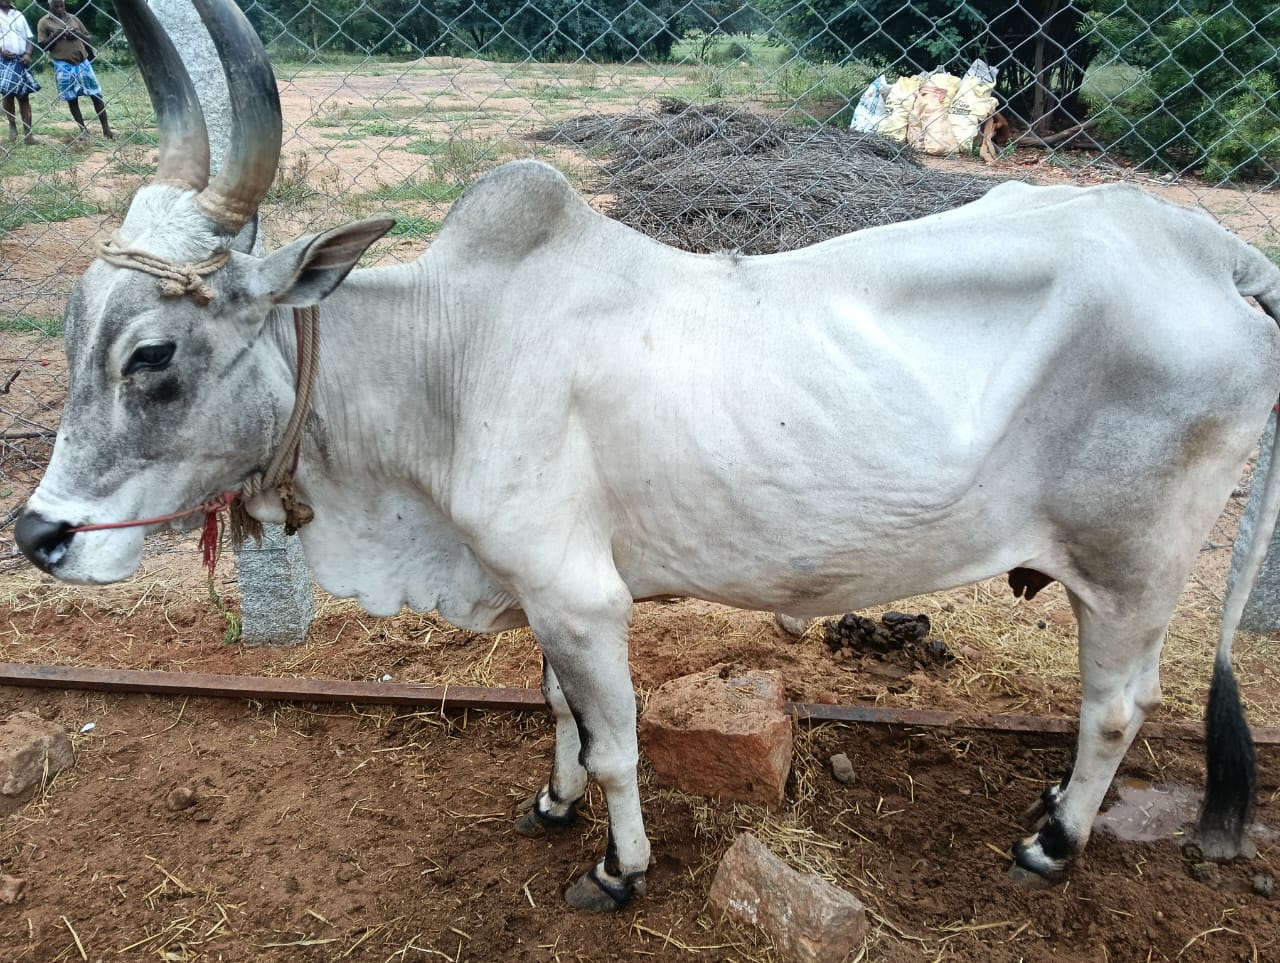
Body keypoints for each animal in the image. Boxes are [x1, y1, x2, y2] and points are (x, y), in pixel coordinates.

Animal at [14, 0, 1280, 911]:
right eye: (74, 329)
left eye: (154, 354)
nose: (39, 535)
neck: (450, 356)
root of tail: (1205, 247)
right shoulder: (536, 589)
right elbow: (559, 713)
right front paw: (552, 802)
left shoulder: (582, 595)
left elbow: (620, 744)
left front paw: (619, 869)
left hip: (1130, 568)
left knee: (1115, 706)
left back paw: (1051, 840)